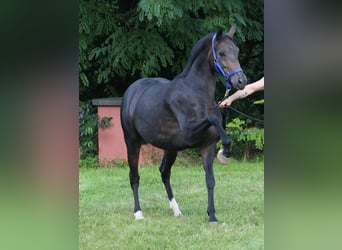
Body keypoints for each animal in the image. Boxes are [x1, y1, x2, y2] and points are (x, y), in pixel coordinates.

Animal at [120, 24, 246, 223]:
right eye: (221, 53)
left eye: (237, 51)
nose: (241, 81)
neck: (196, 94)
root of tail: (132, 90)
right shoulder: (189, 132)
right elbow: (214, 120)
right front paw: (225, 152)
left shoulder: (207, 146)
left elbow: (210, 180)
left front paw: (212, 216)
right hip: (132, 142)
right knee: (134, 176)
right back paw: (138, 213)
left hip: (170, 148)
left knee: (164, 172)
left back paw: (176, 210)